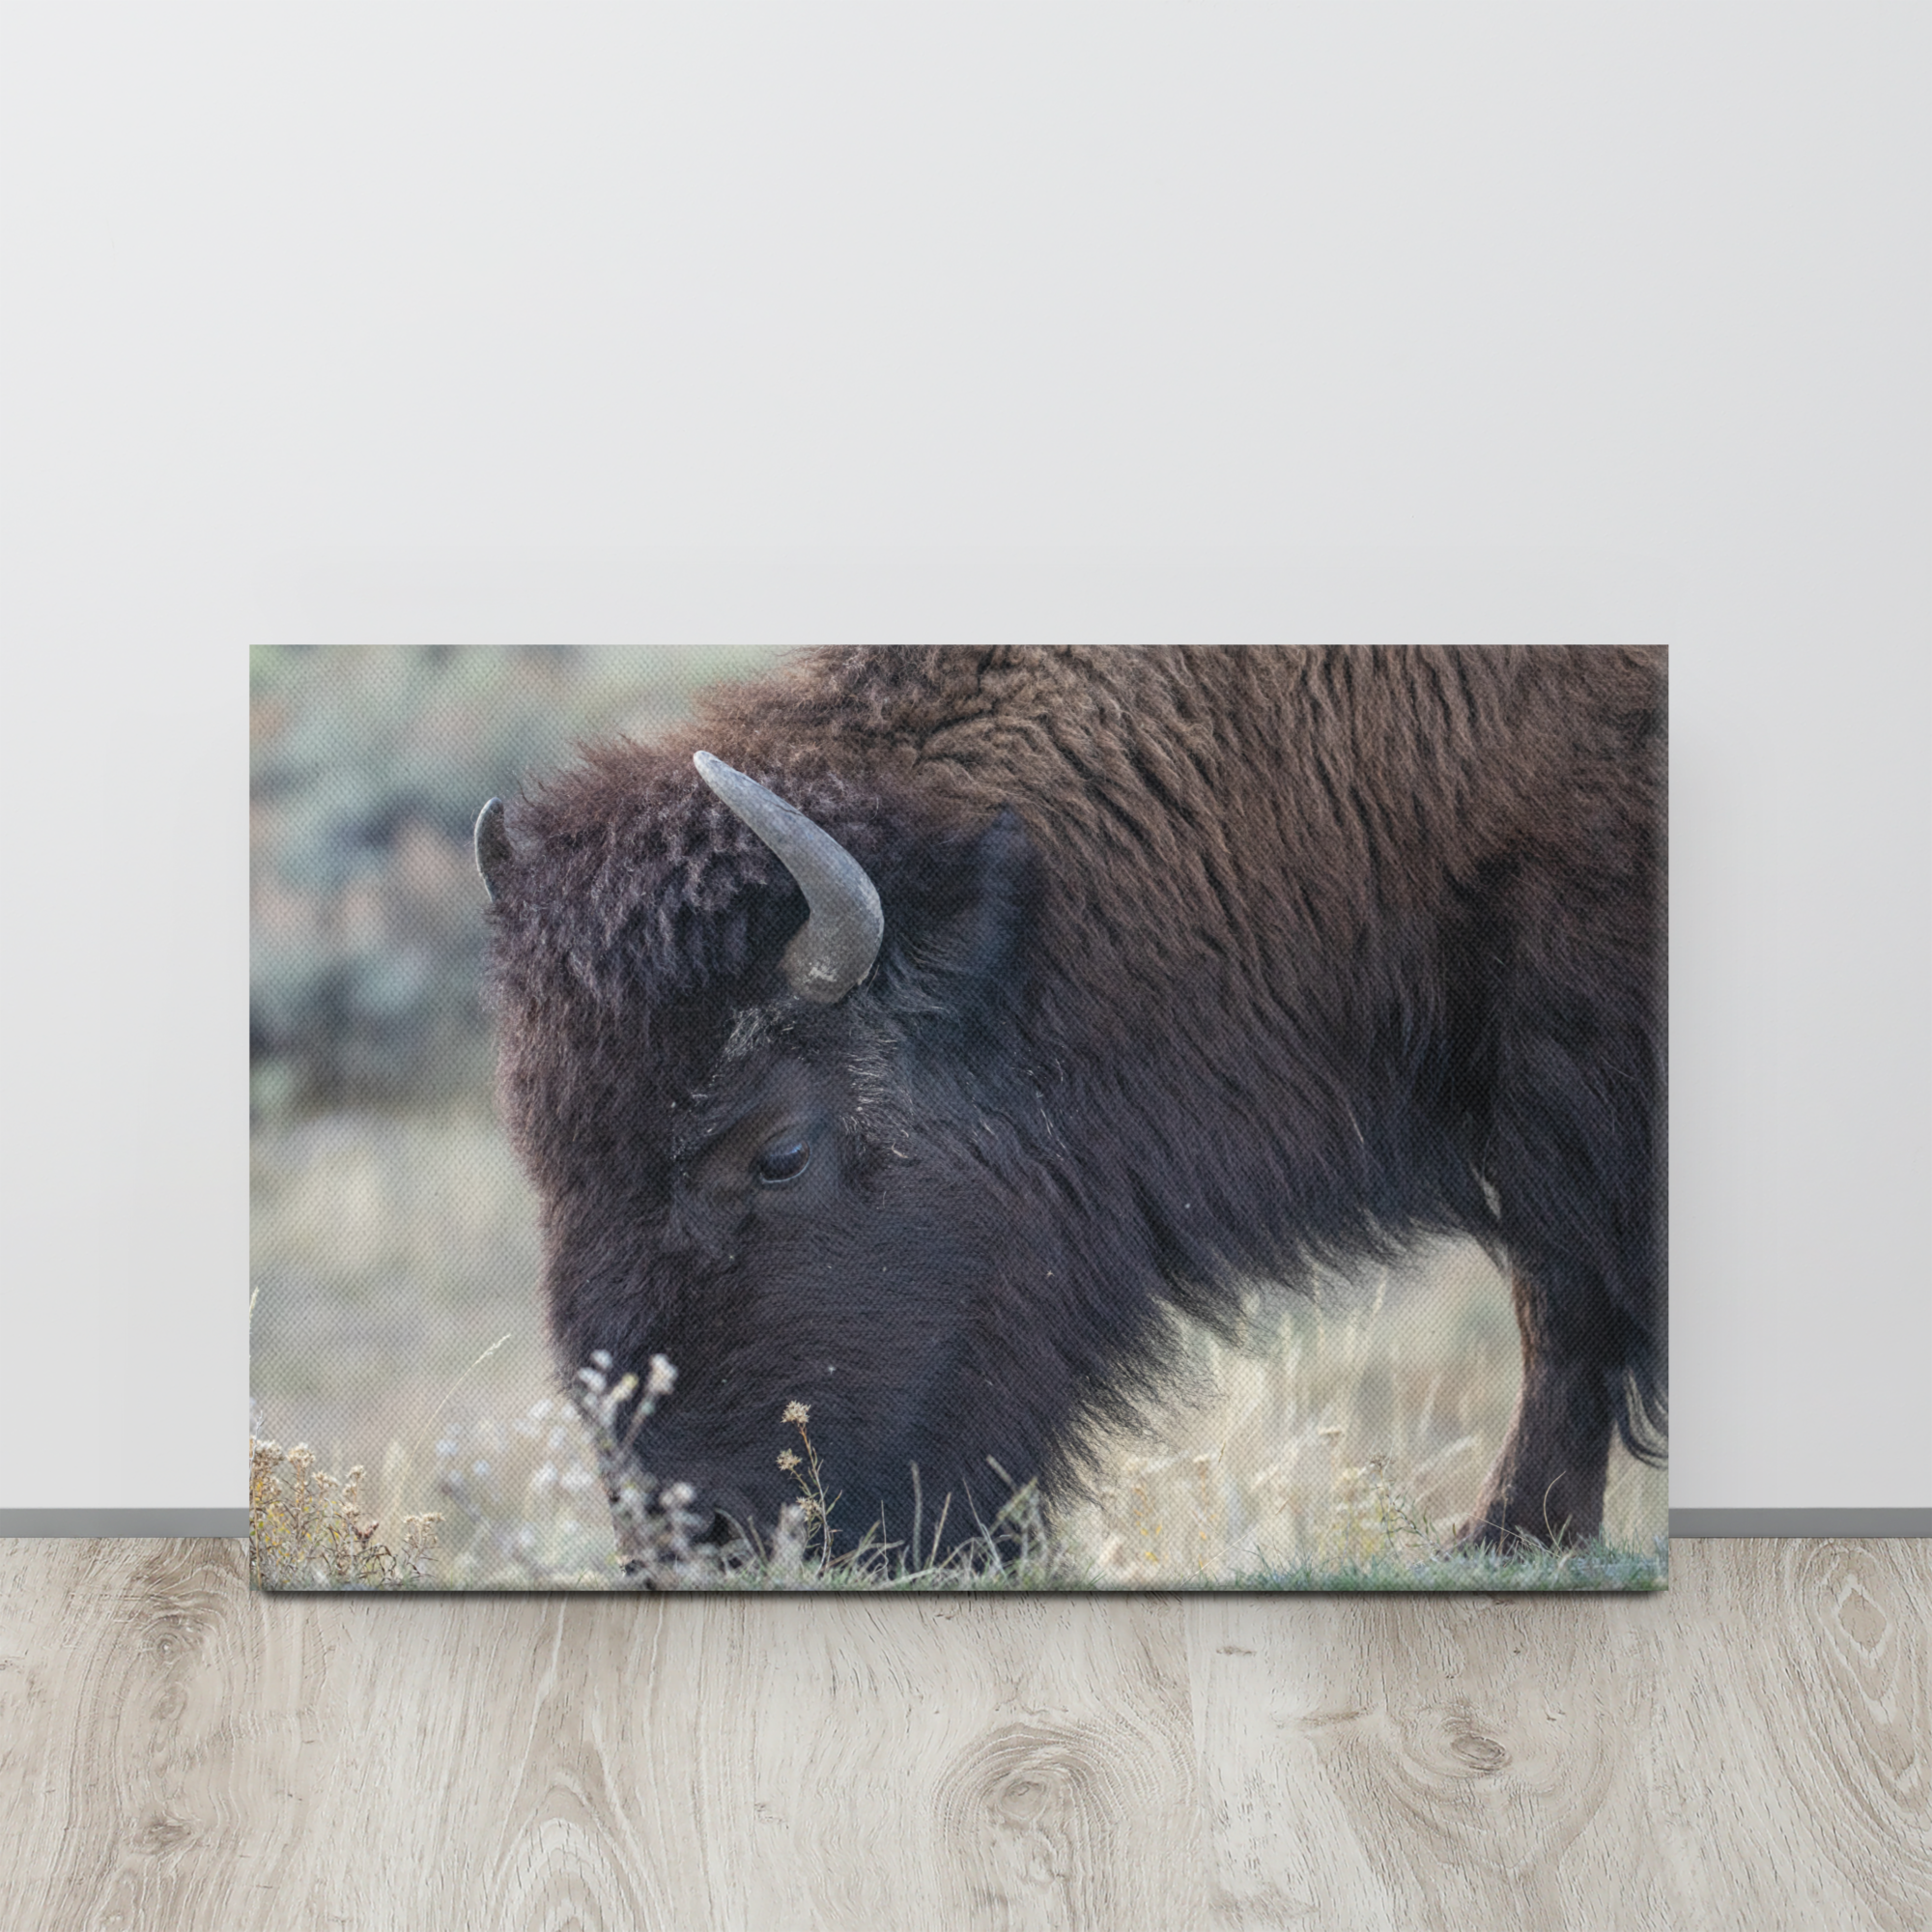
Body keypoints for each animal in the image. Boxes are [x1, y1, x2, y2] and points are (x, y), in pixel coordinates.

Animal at [477, 646, 1665, 1562]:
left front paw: (1510, 1533)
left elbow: (1562, 1299)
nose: (694, 1536)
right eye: (543, 1155)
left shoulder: (1567, 1077)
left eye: (780, 1153)